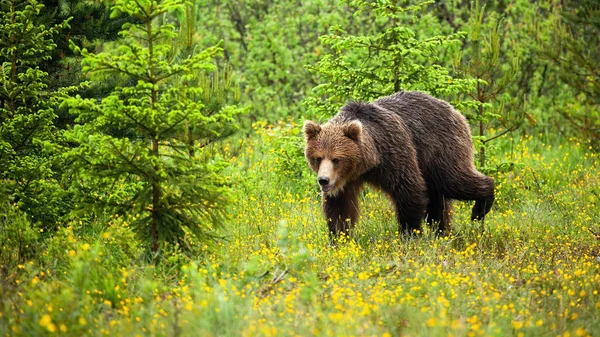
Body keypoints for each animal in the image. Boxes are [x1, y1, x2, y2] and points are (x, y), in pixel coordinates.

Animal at [302, 89, 494, 236]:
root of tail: (455, 111)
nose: (323, 180)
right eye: (318, 158)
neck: (369, 162)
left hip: (440, 148)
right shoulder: (345, 181)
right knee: (438, 201)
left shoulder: (394, 153)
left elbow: (409, 190)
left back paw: (479, 209)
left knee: (453, 180)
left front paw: (410, 234)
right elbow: (340, 207)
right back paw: (442, 231)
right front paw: (339, 237)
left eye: (337, 159)